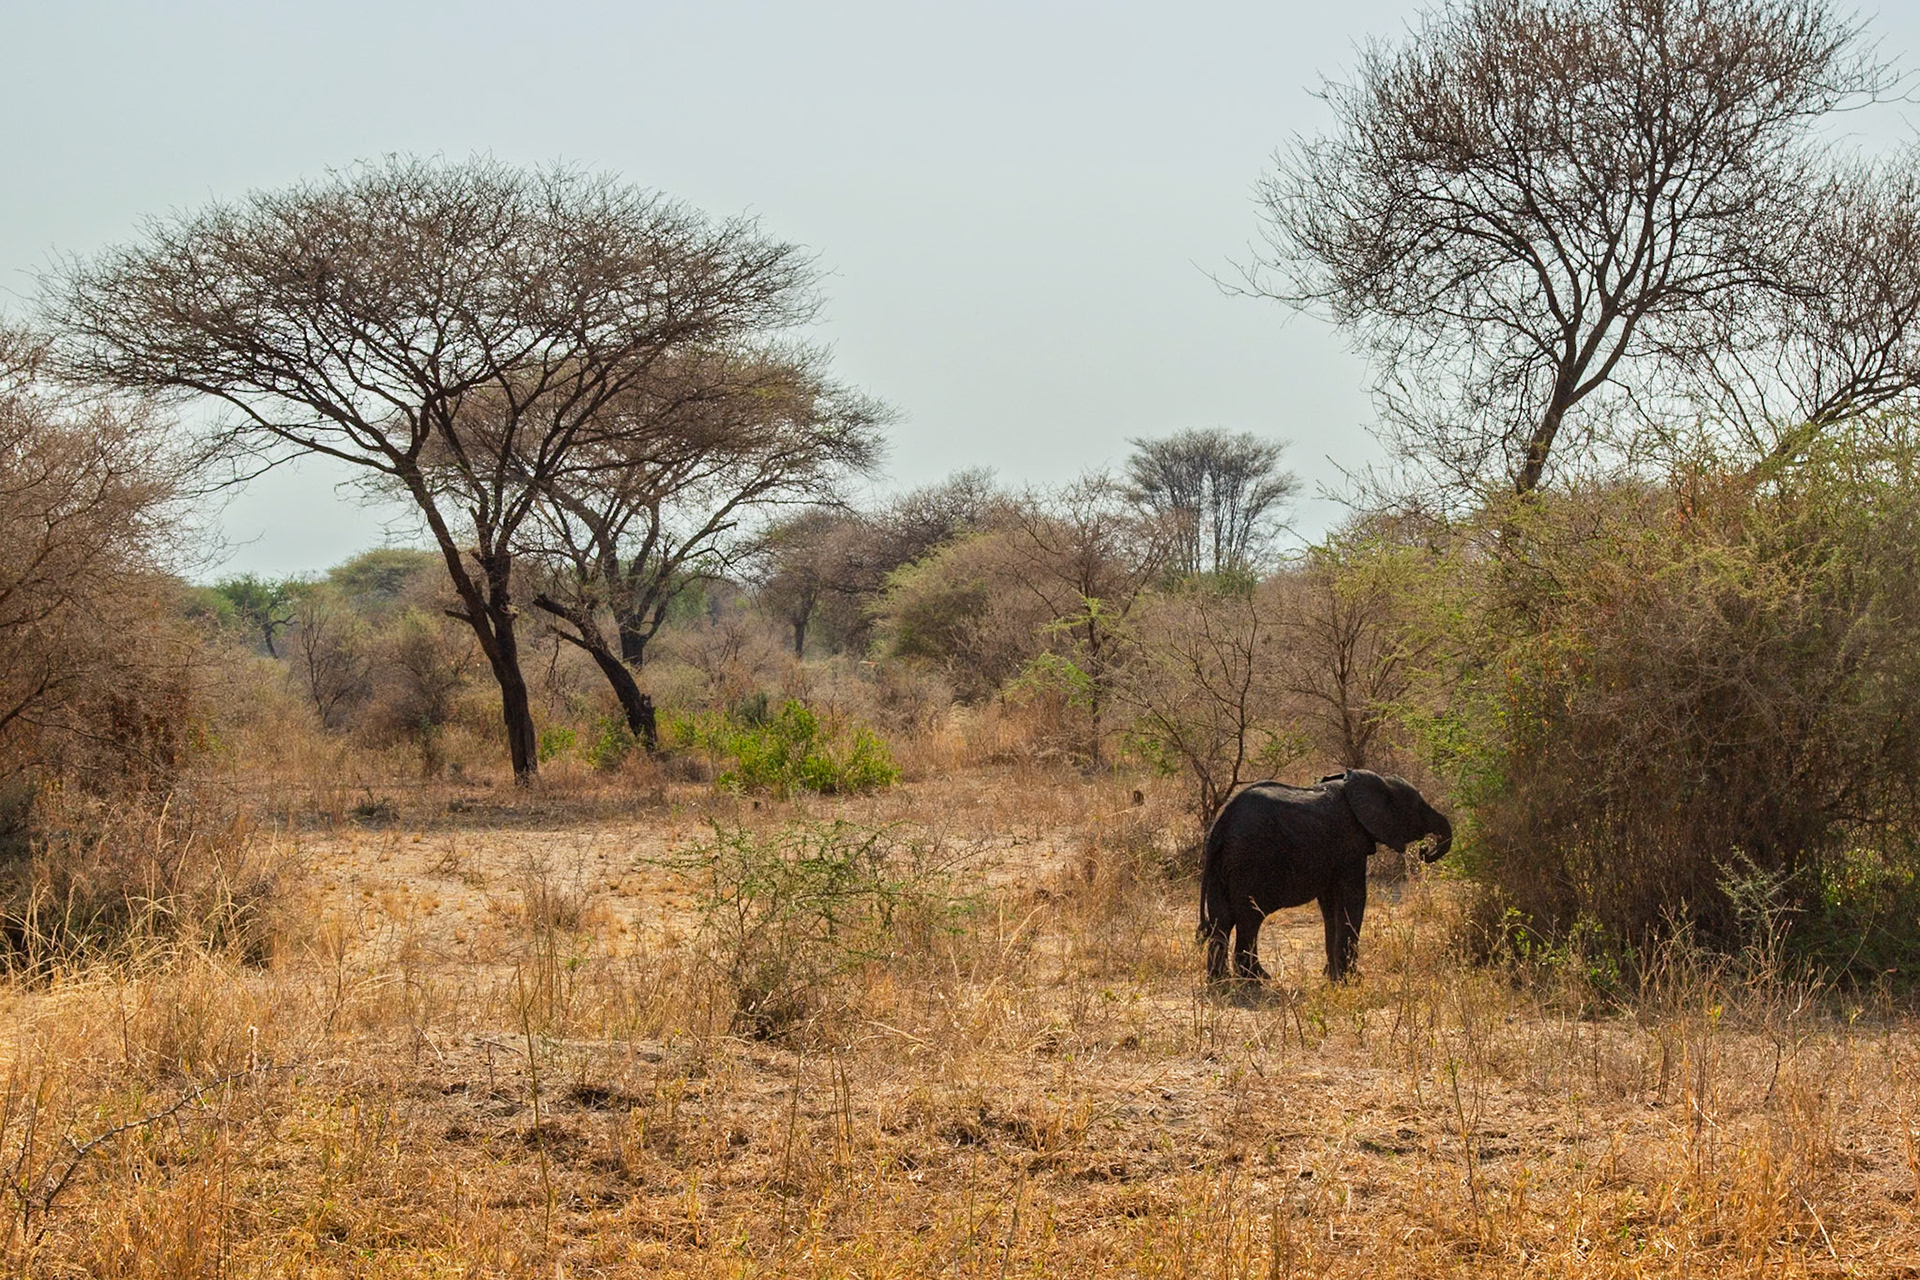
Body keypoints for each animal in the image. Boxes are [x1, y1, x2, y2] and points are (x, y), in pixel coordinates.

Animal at [1199, 770, 1451, 983]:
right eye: (1419, 806)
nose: (1424, 850)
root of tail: (1220, 825)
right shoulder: (1350, 842)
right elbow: (1353, 898)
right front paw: (1351, 979)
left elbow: (1331, 906)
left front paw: (1333, 976)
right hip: (1249, 863)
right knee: (1249, 919)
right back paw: (1257, 979)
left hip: (1221, 864)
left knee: (1222, 920)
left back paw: (1220, 981)